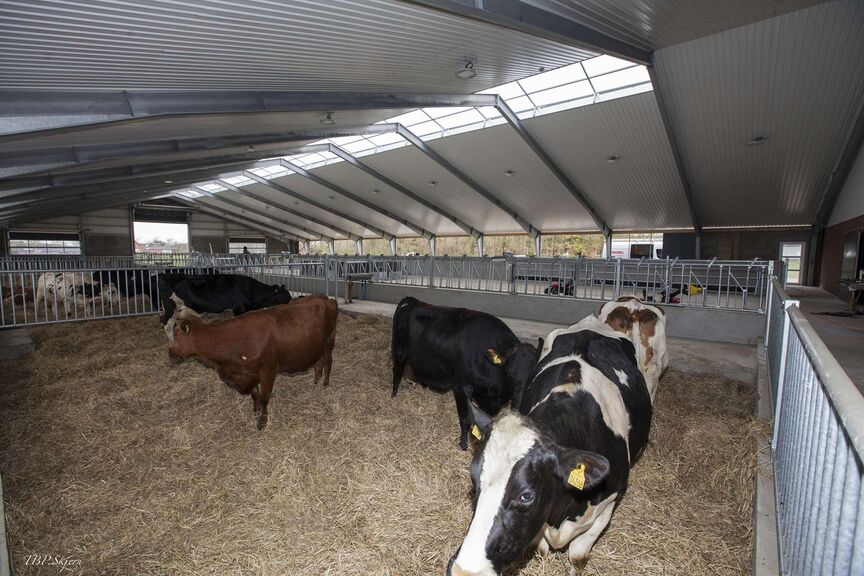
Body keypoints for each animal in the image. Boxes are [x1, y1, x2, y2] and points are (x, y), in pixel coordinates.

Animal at [167, 294, 338, 430]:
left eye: (176, 335)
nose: (169, 353)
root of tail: (326, 298)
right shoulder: (249, 373)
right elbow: (255, 395)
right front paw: (256, 412)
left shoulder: (268, 370)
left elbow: (264, 397)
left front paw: (262, 421)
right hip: (316, 347)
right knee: (318, 364)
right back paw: (315, 382)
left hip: (329, 341)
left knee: (328, 362)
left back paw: (325, 384)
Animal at [391, 297, 542, 450]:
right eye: (509, 373)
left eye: (534, 373)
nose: (520, 404)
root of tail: (411, 300)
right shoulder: (461, 387)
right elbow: (465, 418)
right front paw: (463, 443)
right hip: (399, 351)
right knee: (397, 372)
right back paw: (394, 396)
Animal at [448, 298, 667, 576]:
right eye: (474, 479)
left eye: (527, 496)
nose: (464, 571)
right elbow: (541, 551)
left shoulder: (607, 505)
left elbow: (578, 557)